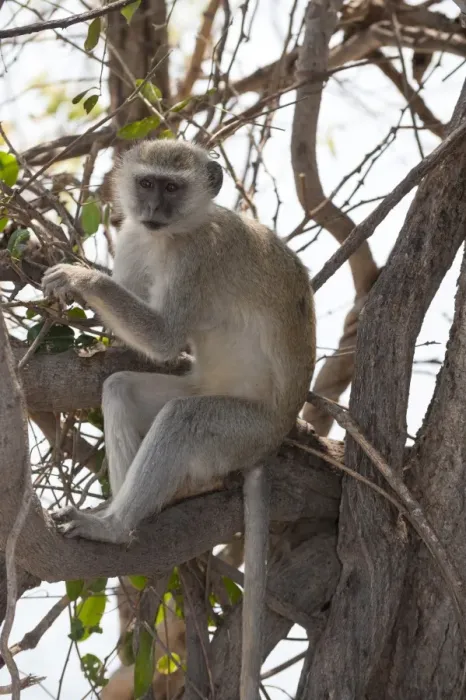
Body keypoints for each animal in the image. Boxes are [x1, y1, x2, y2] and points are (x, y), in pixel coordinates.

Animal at [42, 139, 316, 700]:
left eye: (172, 187)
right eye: (147, 183)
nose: (152, 208)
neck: (172, 234)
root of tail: (272, 439)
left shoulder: (197, 257)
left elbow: (164, 338)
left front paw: (80, 277)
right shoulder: (133, 235)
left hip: (239, 431)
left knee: (184, 419)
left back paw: (116, 528)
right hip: (203, 391)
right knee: (121, 389)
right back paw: (123, 514)